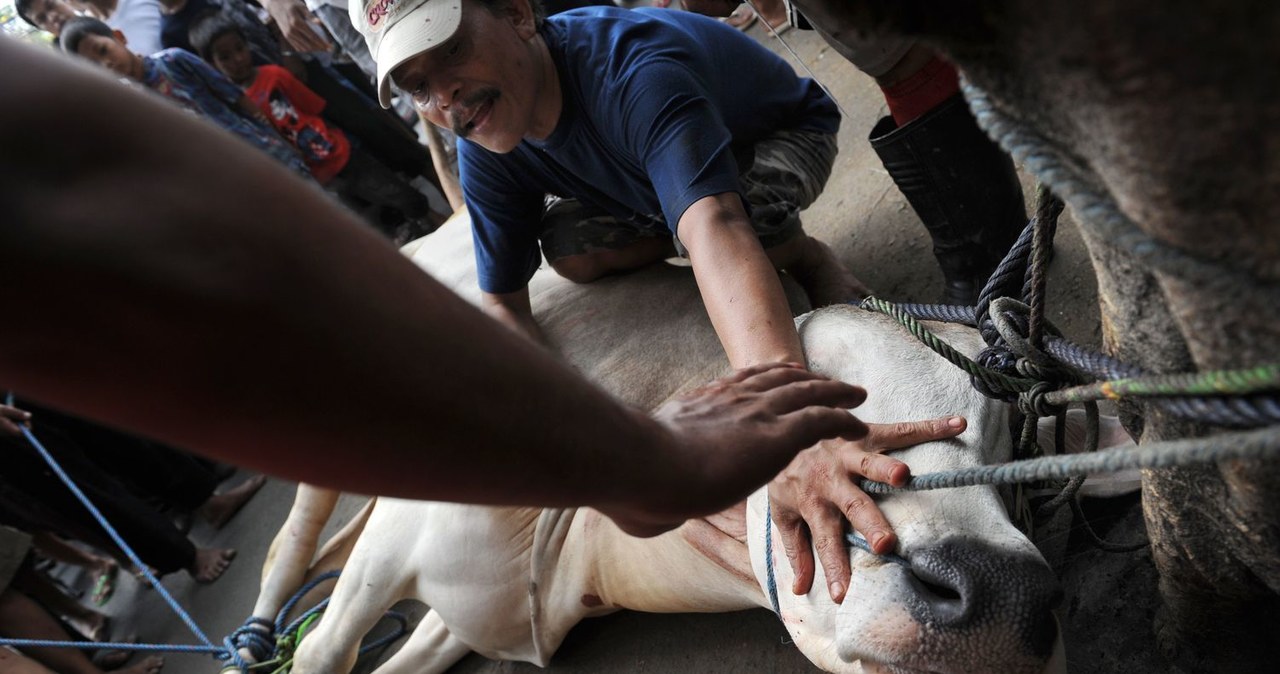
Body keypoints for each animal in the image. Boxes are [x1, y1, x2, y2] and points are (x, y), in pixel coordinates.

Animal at [249, 217, 1059, 674]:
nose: (1001, 596)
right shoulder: (394, 538)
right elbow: (321, 650)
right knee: (286, 546)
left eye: (1011, 446)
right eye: (822, 396)